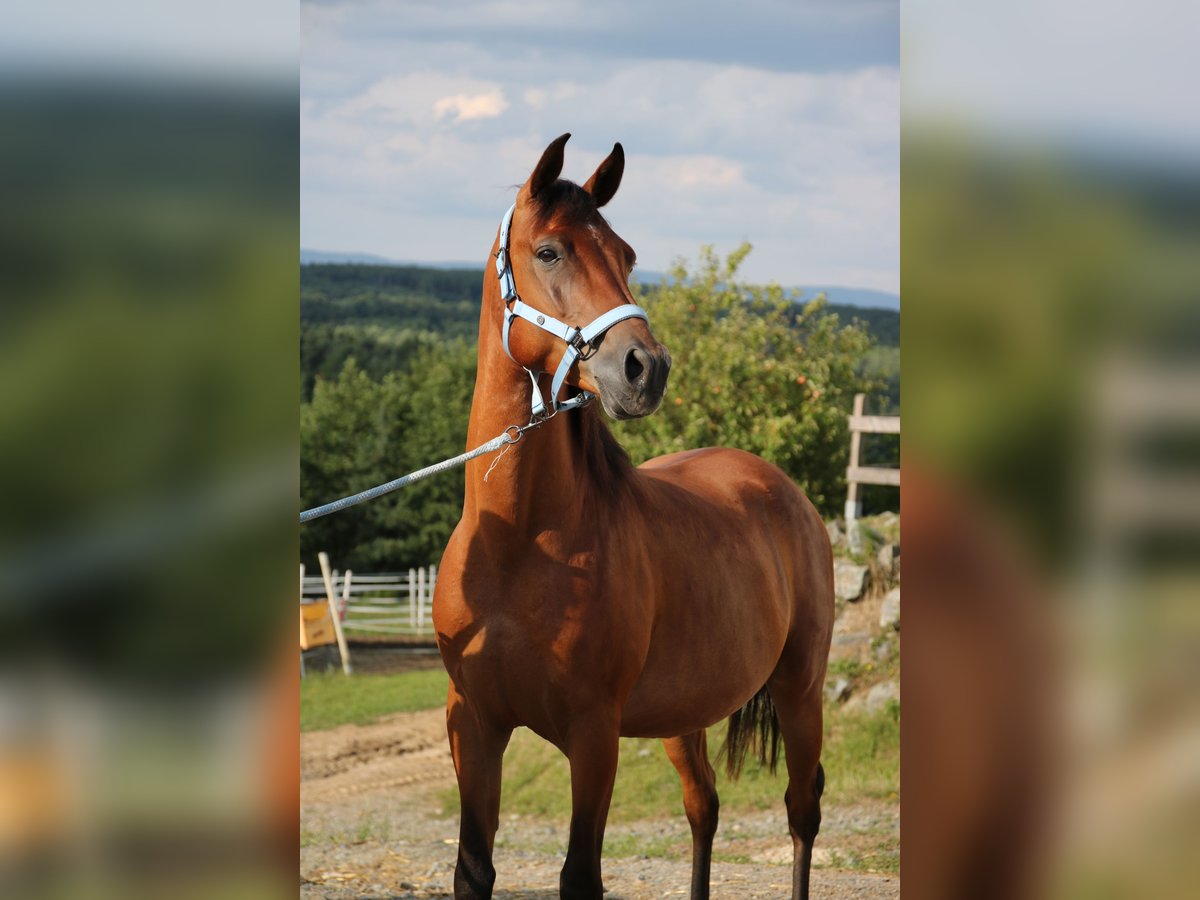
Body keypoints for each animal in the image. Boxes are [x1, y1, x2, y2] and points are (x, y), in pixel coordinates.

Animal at [433, 133, 834, 900]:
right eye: (550, 251)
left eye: (626, 255)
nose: (645, 367)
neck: (525, 545)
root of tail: (785, 492)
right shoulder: (474, 726)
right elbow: (474, 868)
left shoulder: (594, 737)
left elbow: (580, 875)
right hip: (686, 712)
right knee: (704, 806)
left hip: (801, 689)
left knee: (803, 812)